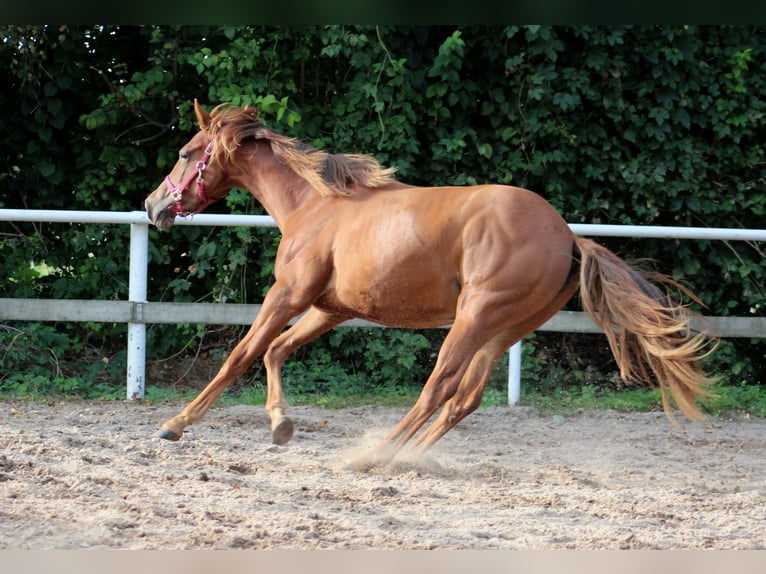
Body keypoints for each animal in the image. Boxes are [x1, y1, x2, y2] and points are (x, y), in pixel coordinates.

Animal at [146, 99, 720, 472]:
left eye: (185, 152)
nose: (154, 206)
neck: (316, 205)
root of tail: (569, 238)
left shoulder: (287, 295)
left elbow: (241, 355)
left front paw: (176, 423)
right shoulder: (330, 308)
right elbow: (276, 351)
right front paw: (280, 424)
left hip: (475, 318)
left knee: (438, 388)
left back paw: (374, 455)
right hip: (502, 330)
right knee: (464, 400)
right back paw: (405, 459)